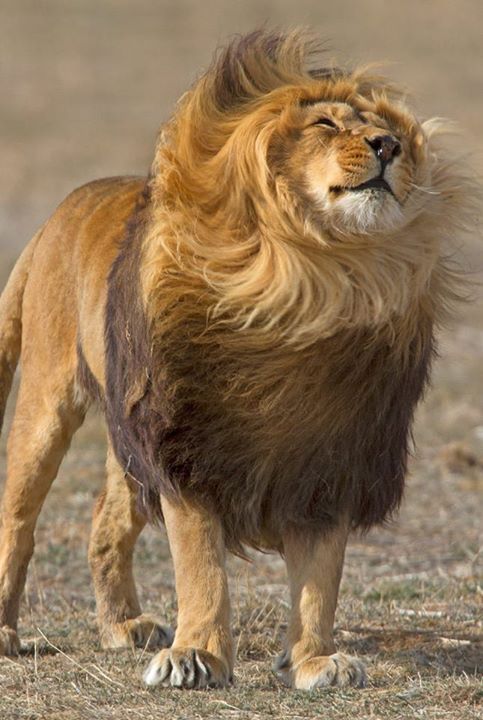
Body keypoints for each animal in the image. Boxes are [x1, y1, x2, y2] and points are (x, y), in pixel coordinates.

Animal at [0, 31, 476, 688]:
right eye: (326, 123)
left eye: (386, 130)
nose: (388, 145)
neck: (316, 278)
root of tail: (63, 208)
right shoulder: (187, 446)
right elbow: (201, 565)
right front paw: (198, 655)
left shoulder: (332, 456)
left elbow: (320, 578)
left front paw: (314, 660)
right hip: (48, 405)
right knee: (17, 520)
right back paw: (6, 631)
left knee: (106, 520)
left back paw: (122, 626)